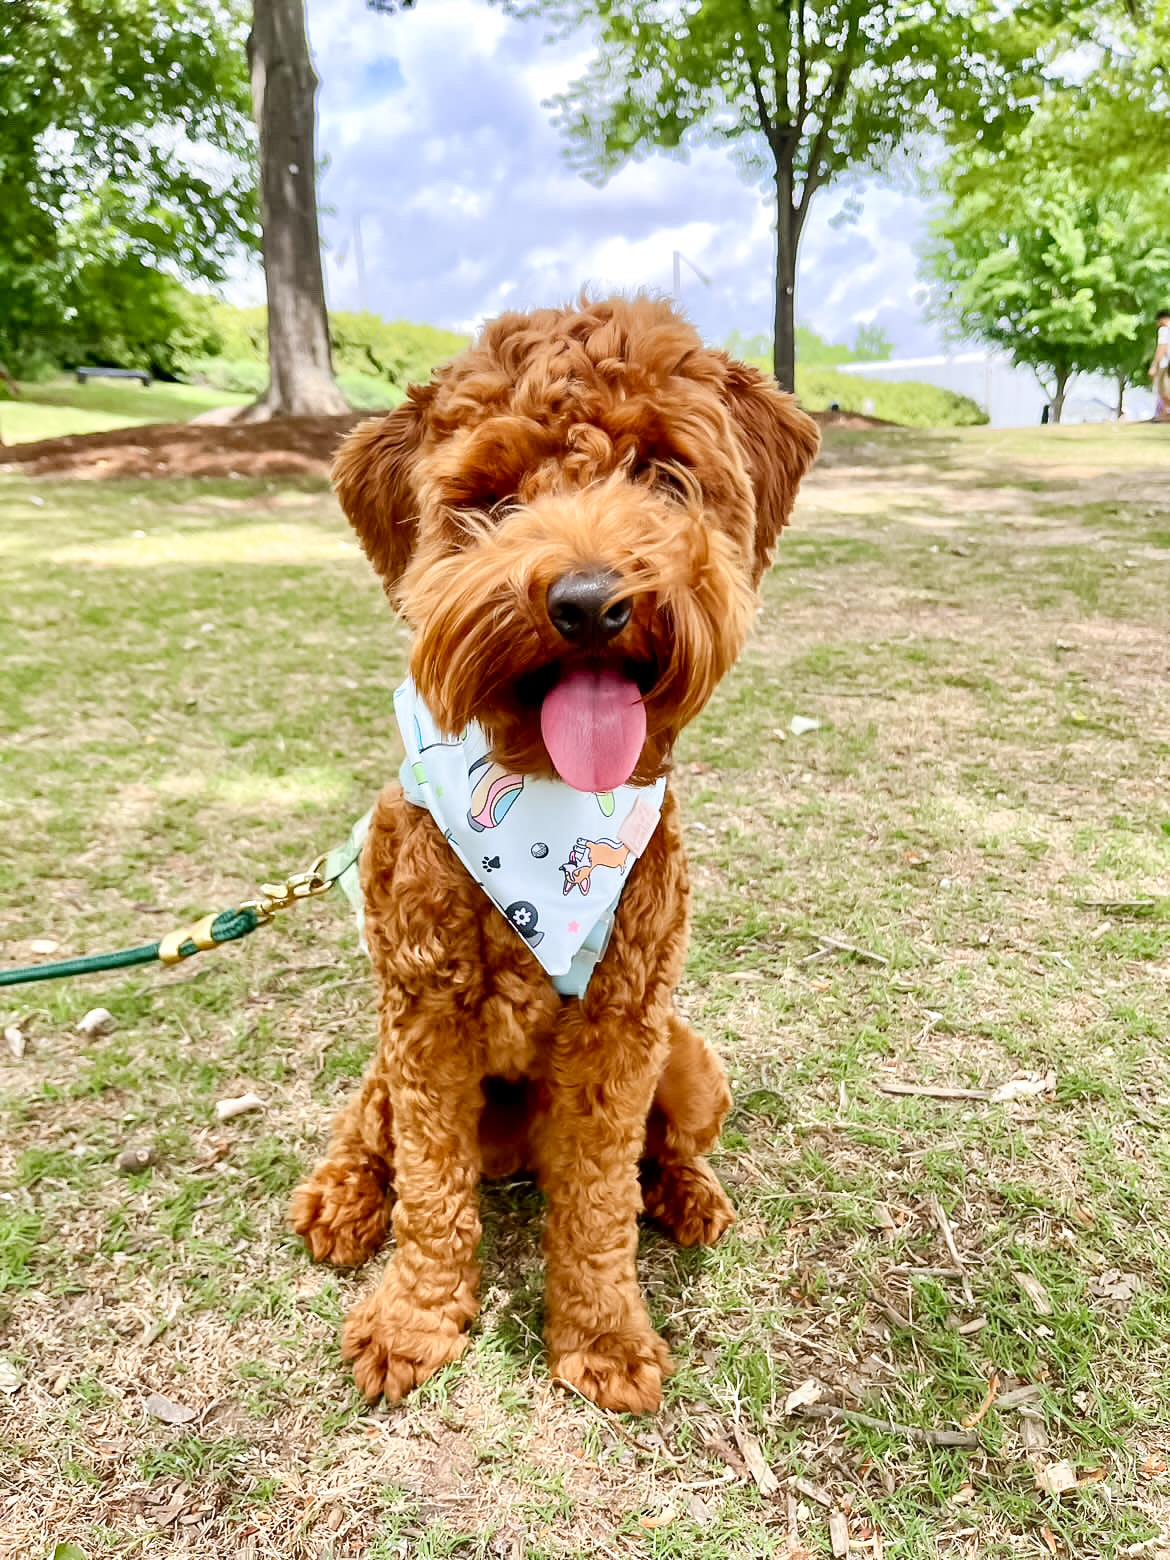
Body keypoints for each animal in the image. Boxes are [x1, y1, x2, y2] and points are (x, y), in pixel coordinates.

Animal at [291, 293, 823, 1416]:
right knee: (368, 1130)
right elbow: (430, 1185)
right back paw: (339, 1197)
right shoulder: (422, 1021)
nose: (585, 601)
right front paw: (413, 1321)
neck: (542, 807)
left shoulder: (623, 1028)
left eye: (663, 473)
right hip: (385, 1061)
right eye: (491, 500)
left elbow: (599, 1200)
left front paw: (604, 1335)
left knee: (661, 1154)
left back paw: (688, 1195)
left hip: (691, 1062)